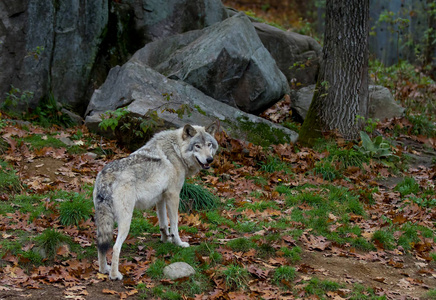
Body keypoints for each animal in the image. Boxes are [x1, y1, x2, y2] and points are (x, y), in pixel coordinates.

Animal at [94, 121, 220, 278]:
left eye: (209, 144)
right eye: (197, 146)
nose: (209, 159)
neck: (177, 152)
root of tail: (106, 176)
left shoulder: (161, 198)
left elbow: (163, 224)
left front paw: (165, 239)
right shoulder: (174, 195)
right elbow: (175, 224)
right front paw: (178, 243)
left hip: (103, 223)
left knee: (101, 246)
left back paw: (103, 269)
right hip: (126, 221)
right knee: (116, 247)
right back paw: (115, 275)